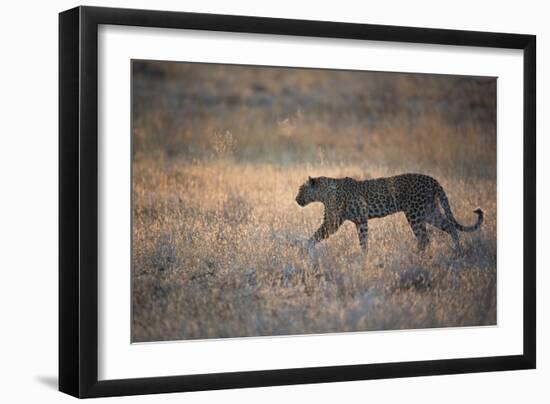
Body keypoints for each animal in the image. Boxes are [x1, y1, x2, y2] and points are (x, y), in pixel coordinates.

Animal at [296, 172, 486, 254]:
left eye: (301, 190)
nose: (296, 199)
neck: (323, 192)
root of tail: (433, 180)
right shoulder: (361, 221)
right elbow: (363, 241)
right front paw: (364, 258)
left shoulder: (332, 222)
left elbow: (316, 235)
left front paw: (304, 249)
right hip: (430, 211)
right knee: (450, 227)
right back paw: (457, 250)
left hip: (415, 213)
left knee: (424, 238)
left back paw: (416, 256)